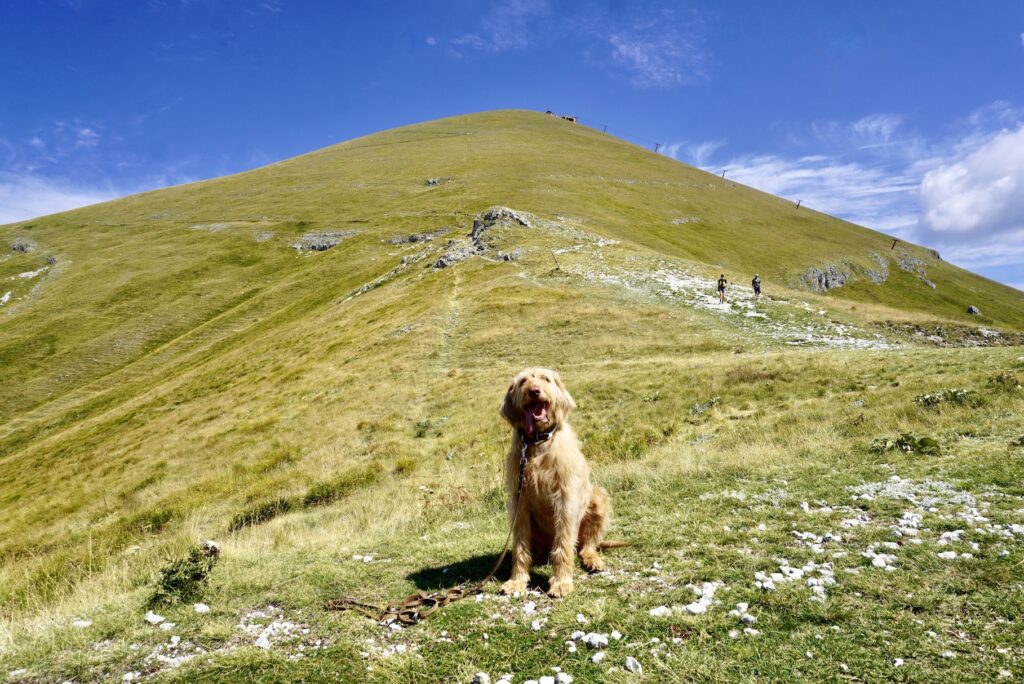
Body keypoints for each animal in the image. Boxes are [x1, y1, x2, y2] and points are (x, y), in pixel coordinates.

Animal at [497, 366, 614, 593]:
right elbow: (520, 546)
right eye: (523, 381)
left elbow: (563, 544)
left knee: (586, 545)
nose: (534, 391)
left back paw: (592, 559)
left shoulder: (564, 498)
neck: (537, 442)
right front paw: (517, 580)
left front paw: (561, 581)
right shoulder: (519, 501)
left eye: (545, 379)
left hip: (598, 498)